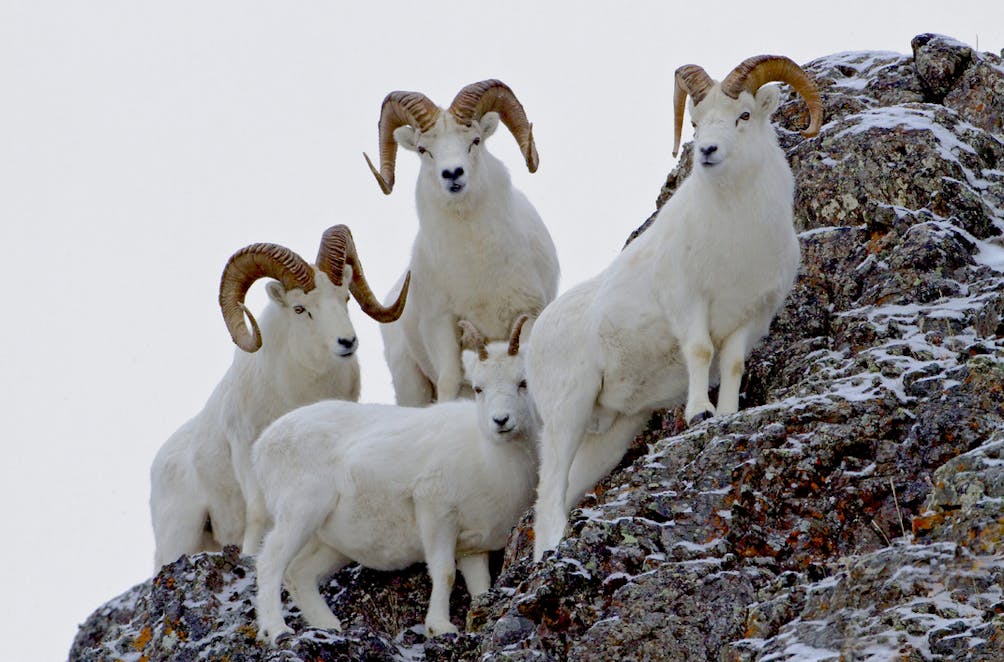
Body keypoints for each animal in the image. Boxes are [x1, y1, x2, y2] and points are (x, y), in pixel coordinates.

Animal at [146, 227, 405, 570]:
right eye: (300, 309)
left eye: (345, 298)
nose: (347, 342)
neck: (297, 393)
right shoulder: (246, 451)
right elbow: (258, 514)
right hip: (182, 533)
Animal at [250, 317, 542, 646]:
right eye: (479, 388)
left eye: (523, 382)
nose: (501, 421)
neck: (489, 461)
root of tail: (262, 445)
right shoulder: (435, 513)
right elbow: (444, 572)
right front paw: (440, 627)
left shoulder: (474, 548)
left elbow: (480, 587)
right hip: (300, 512)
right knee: (270, 563)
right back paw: (277, 630)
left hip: (330, 544)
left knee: (299, 575)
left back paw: (331, 628)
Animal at [363, 80, 566, 405]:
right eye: (423, 150)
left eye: (475, 140)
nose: (453, 174)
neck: (477, 266)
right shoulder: (442, 327)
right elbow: (450, 380)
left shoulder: (527, 315)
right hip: (410, 382)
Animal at [530, 54, 819, 558]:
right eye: (697, 122)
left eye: (744, 115)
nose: (707, 151)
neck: (737, 238)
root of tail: (532, 343)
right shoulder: (688, 304)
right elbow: (700, 353)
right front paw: (699, 412)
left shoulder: (748, 319)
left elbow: (733, 364)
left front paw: (725, 413)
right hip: (568, 412)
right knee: (548, 497)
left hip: (611, 434)